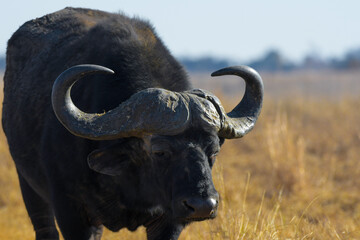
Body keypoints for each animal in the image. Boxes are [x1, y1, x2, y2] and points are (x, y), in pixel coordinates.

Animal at [1, 7, 262, 240]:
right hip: (28, 185)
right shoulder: (72, 213)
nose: (203, 205)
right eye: (160, 151)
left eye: (214, 151)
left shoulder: (170, 220)